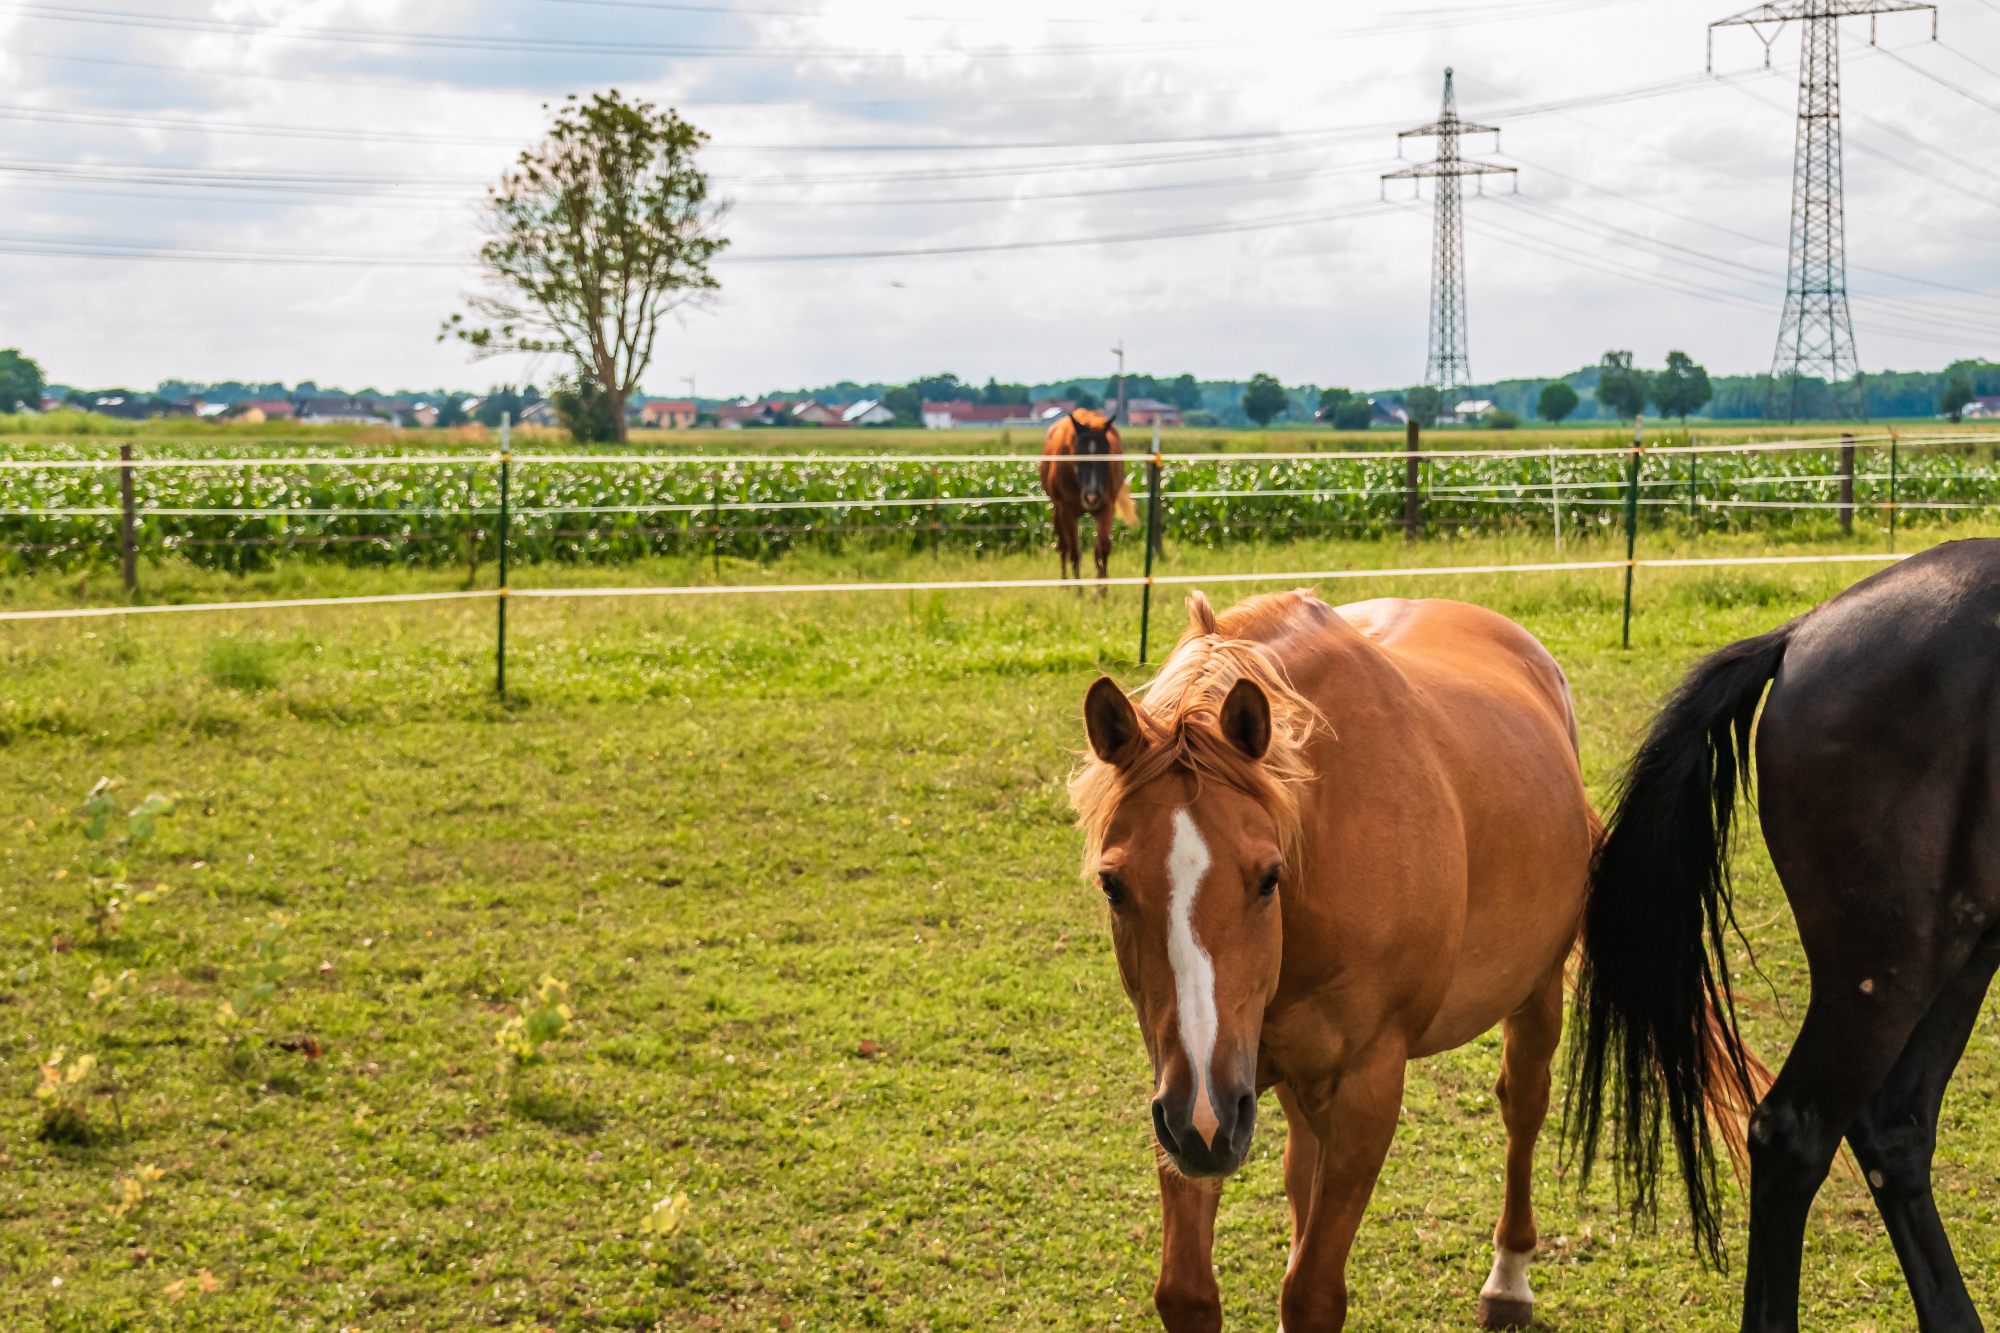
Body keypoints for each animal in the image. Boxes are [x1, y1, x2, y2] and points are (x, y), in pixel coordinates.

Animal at [1040, 408, 1136, 584]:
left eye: (1106, 454)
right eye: (1078, 455)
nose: (1092, 497)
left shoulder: (1106, 508)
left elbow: (1102, 550)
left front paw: (1101, 590)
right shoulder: (1066, 511)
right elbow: (1074, 554)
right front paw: (1078, 590)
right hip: (1058, 511)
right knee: (1063, 547)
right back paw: (1064, 585)